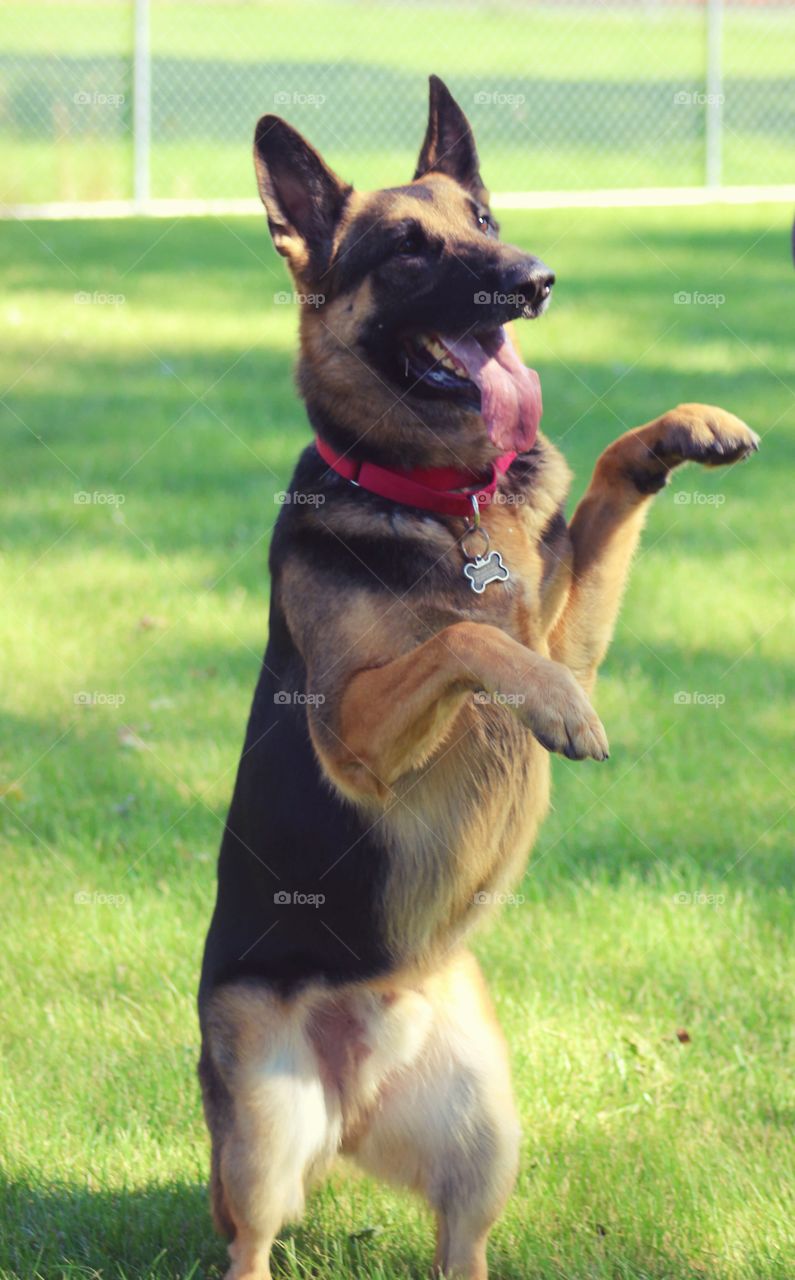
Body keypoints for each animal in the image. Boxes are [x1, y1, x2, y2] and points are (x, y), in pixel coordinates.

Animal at [197, 77, 757, 1280]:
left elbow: (598, 490)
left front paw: (682, 428)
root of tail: (356, 1087)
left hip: (484, 1131)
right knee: (248, 1242)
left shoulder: (561, 622)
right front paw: (560, 714)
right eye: (409, 251)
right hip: (261, 1136)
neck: (439, 500)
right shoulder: (355, 733)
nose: (536, 278)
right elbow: (464, 641)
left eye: (486, 222)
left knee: (461, 1242)